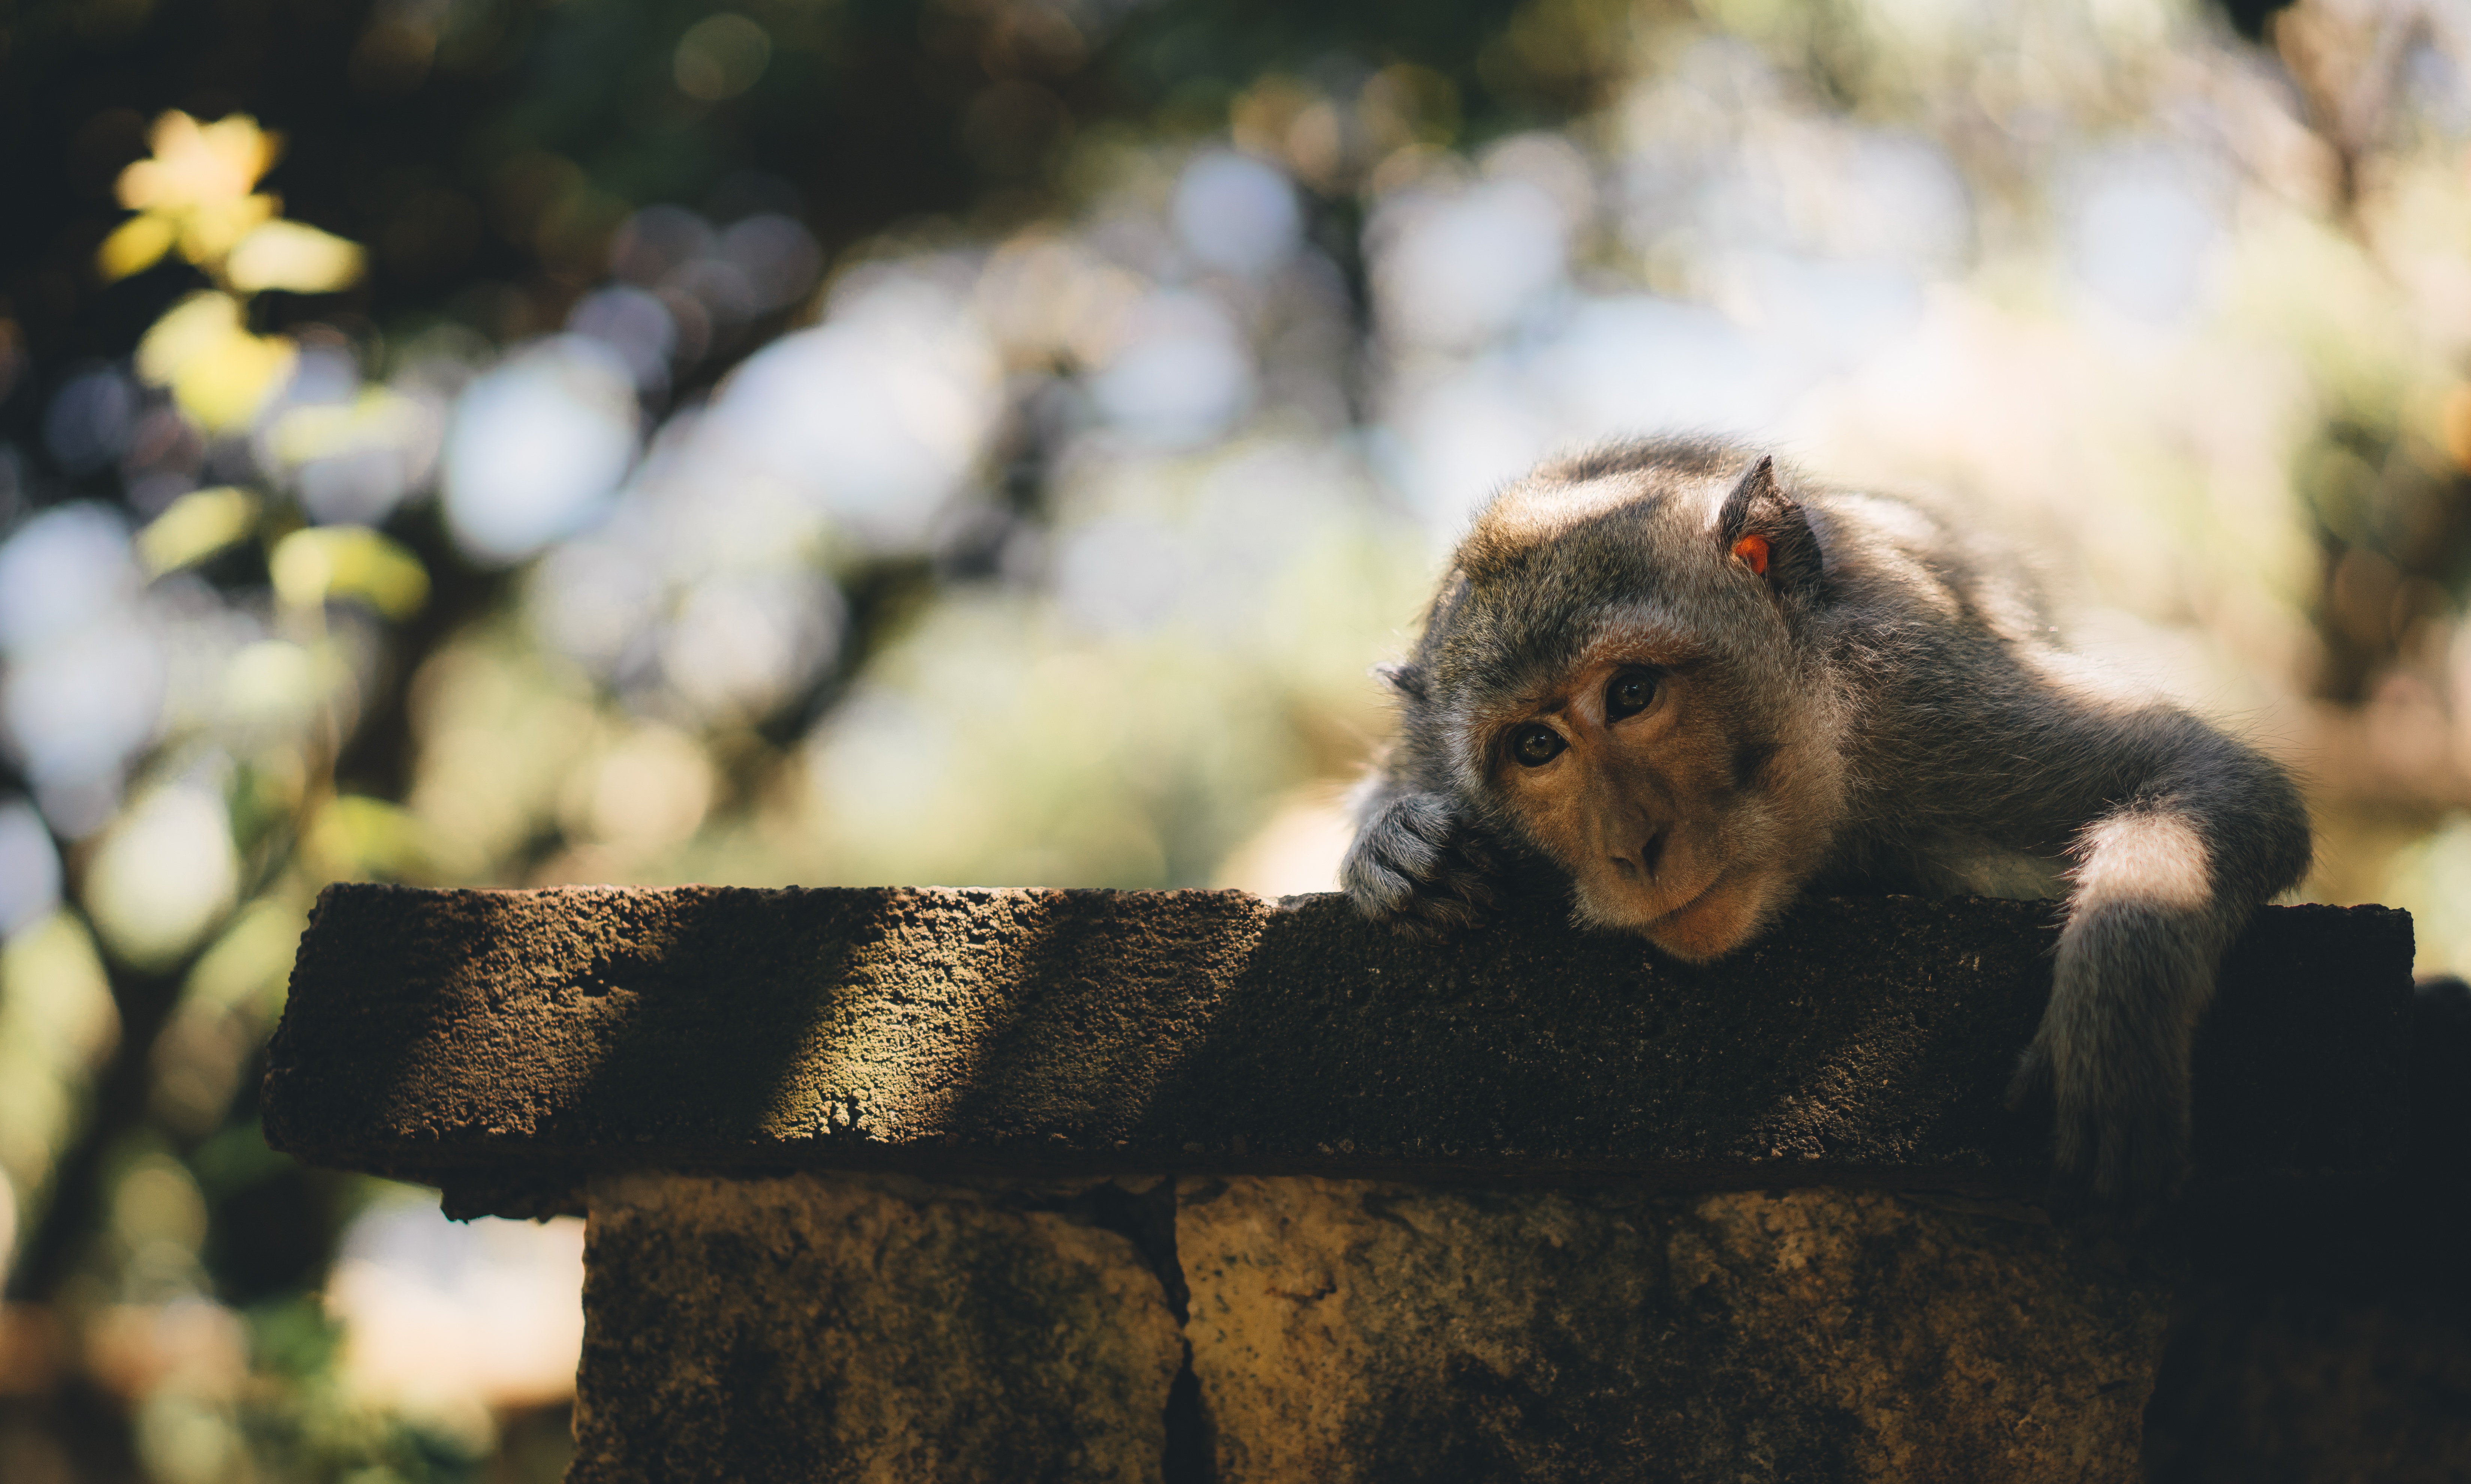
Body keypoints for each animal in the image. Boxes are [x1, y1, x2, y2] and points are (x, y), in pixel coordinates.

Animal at [1341, 437, 2312, 1208]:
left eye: (1632, 693)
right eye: (1536, 746)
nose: (1631, 849)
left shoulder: (1920, 701)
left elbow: (2209, 774)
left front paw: (2117, 1025)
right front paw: (1398, 853)